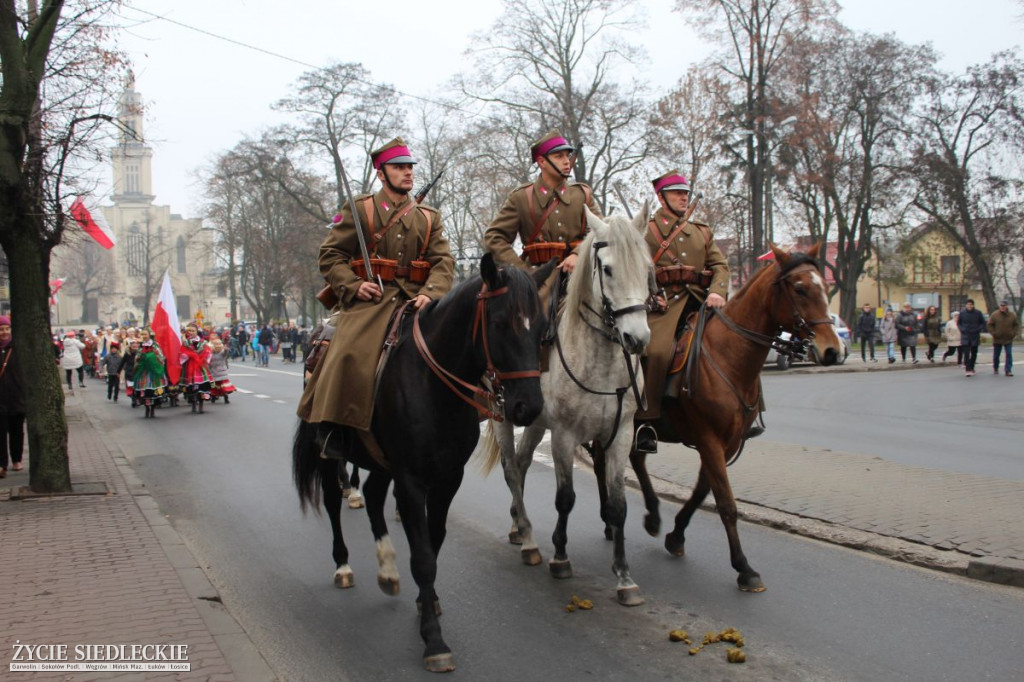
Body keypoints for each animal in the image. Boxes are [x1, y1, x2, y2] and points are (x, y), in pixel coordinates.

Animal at [296, 253, 552, 667]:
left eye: (543, 328)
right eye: (499, 323)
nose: (528, 407)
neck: (433, 385)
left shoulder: (447, 478)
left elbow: (434, 542)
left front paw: (425, 602)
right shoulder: (412, 480)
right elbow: (423, 557)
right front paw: (434, 639)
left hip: (381, 461)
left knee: (373, 495)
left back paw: (387, 569)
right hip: (329, 450)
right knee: (335, 500)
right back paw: (344, 565)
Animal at [481, 204, 655, 602]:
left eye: (646, 267)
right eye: (607, 268)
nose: (637, 338)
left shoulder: (620, 435)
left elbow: (619, 506)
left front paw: (624, 576)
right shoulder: (564, 436)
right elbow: (565, 498)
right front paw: (560, 556)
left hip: (534, 422)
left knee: (524, 464)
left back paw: (518, 525)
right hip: (501, 416)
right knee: (511, 468)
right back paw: (529, 539)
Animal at [593, 241, 839, 593]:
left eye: (824, 287)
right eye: (800, 288)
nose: (833, 350)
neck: (729, 355)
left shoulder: (726, 442)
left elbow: (702, 491)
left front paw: (676, 535)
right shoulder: (709, 440)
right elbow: (726, 503)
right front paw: (744, 567)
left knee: (635, 460)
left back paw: (651, 516)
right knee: (603, 462)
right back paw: (611, 520)